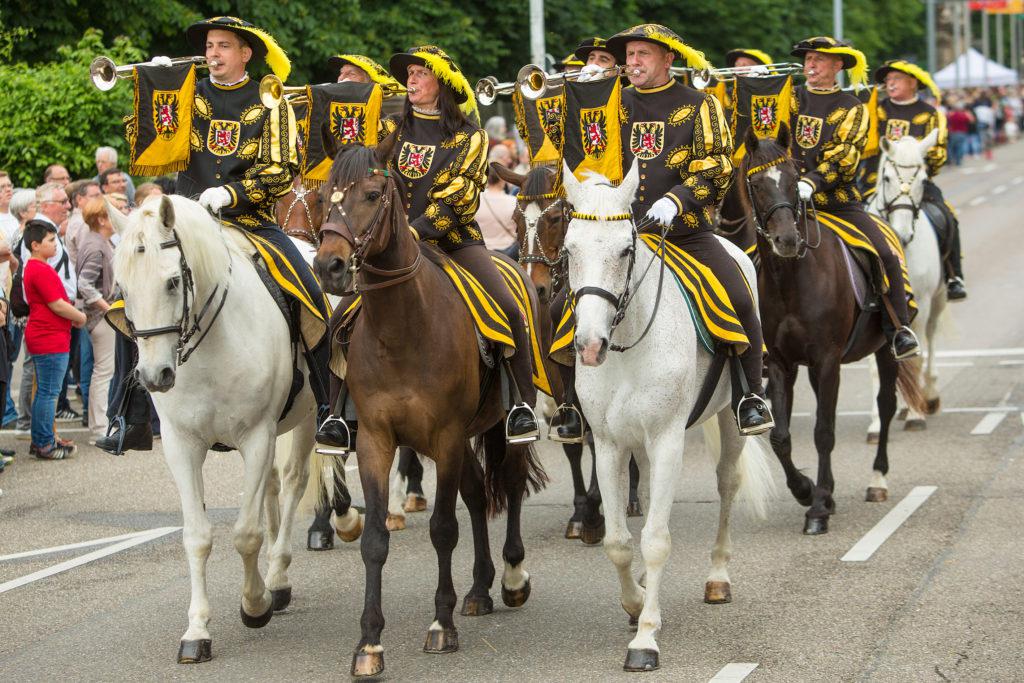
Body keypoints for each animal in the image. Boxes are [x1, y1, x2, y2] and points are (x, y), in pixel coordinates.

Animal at [107, 196, 315, 663]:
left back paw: (277, 579)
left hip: (307, 420)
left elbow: (246, 534)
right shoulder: (182, 445)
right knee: (273, 488)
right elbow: (198, 537)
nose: (154, 376)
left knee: (294, 483)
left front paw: (254, 604)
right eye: (123, 288)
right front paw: (197, 631)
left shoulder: (256, 436)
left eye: (171, 282)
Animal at [313, 139, 548, 679]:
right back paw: (480, 589)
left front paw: (441, 625)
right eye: (323, 194)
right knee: (480, 498)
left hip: (502, 427)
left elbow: (443, 529)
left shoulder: (445, 436)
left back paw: (511, 577)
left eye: (372, 194)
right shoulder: (377, 440)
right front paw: (369, 642)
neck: (402, 327)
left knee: (509, 486)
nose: (328, 266)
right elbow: (375, 539)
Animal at [561, 166, 774, 671]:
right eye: (569, 249)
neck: (627, 347)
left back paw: (718, 578)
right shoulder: (610, 444)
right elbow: (619, 541)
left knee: (727, 484)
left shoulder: (667, 440)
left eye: (625, 248)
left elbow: (656, 539)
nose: (590, 345)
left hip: (730, 421)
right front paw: (636, 602)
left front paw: (645, 639)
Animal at [720, 125, 929, 536]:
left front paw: (817, 508)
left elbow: (823, 432)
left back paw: (877, 480)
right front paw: (806, 490)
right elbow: (781, 437)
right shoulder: (783, 364)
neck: (791, 280)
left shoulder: (828, 360)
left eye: (792, 177)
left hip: (885, 348)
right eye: (756, 183)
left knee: (885, 404)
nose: (787, 240)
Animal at [868, 127, 946, 438]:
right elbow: (878, 366)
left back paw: (929, 397)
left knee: (931, 340)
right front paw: (876, 423)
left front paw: (916, 414)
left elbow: (916, 357)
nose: (901, 233)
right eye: (887, 177)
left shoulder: (921, 305)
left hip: (938, 301)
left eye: (923, 180)